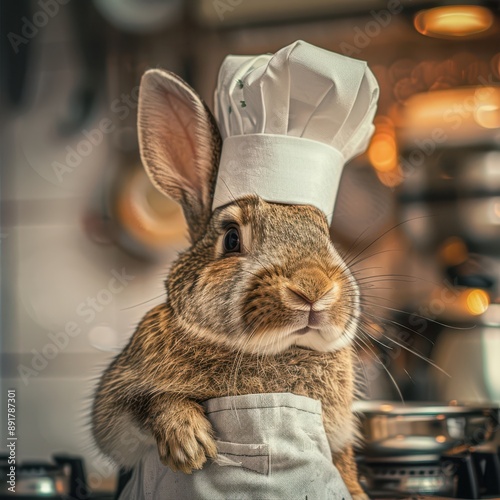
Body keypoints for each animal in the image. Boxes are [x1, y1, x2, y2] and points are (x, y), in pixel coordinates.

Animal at [93, 68, 368, 498]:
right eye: (232, 239)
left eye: (326, 236)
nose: (313, 288)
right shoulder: (117, 400)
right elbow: (147, 402)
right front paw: (188, 444)